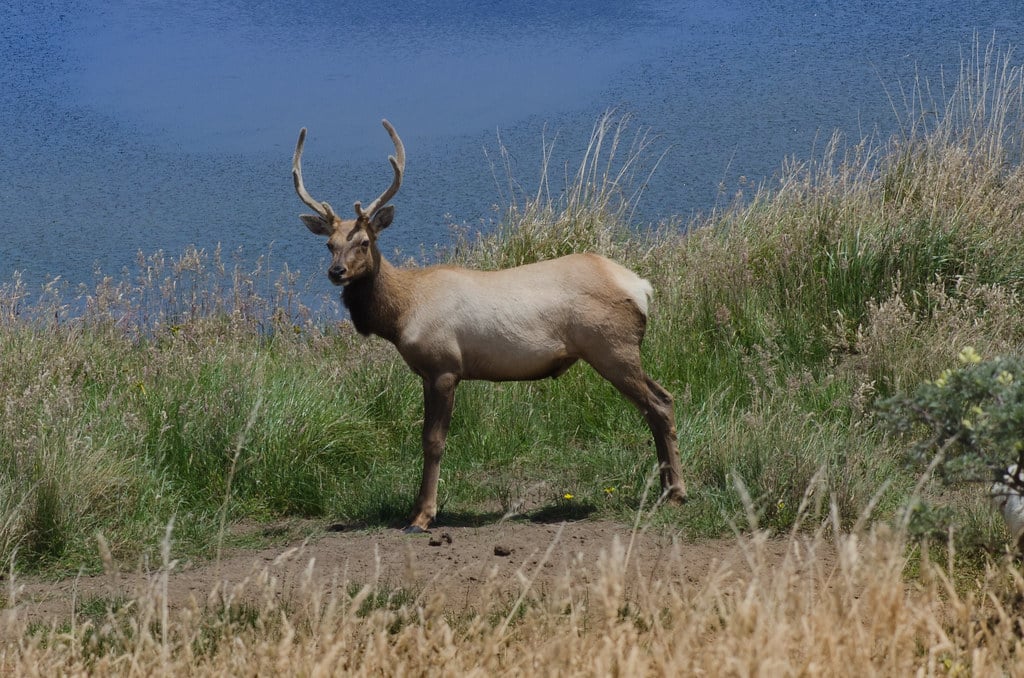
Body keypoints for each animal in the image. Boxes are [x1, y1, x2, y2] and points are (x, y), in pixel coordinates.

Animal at [292, 120, 687, 532]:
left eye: (365, 242)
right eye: (330, 244)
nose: (337, 272)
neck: (402, 315)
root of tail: (642, 287)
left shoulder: (444, 367)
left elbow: (433, 441)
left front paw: (422, 516)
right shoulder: (428, 372)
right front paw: (416, 511)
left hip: (611, 347)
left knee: (659, 403)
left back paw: (676, 493)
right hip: (617, 350)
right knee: (660, 401)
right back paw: (665, 489)